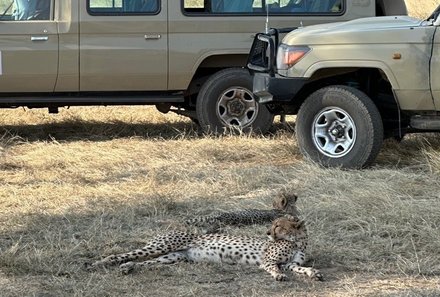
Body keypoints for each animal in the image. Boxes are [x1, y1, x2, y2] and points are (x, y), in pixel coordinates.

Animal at [90, 215, 324, 280]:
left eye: (277, 225)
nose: (267, 232)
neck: (297, 241)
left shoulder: (289, 263)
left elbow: (299, 267)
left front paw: (312, 272)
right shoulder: (268, 261)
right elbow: (274, 268)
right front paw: (278, 276)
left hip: (173, 257)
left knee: (144, 263)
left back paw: (128, 267)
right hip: (161, 247)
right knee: (119, 255)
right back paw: (94, 264)